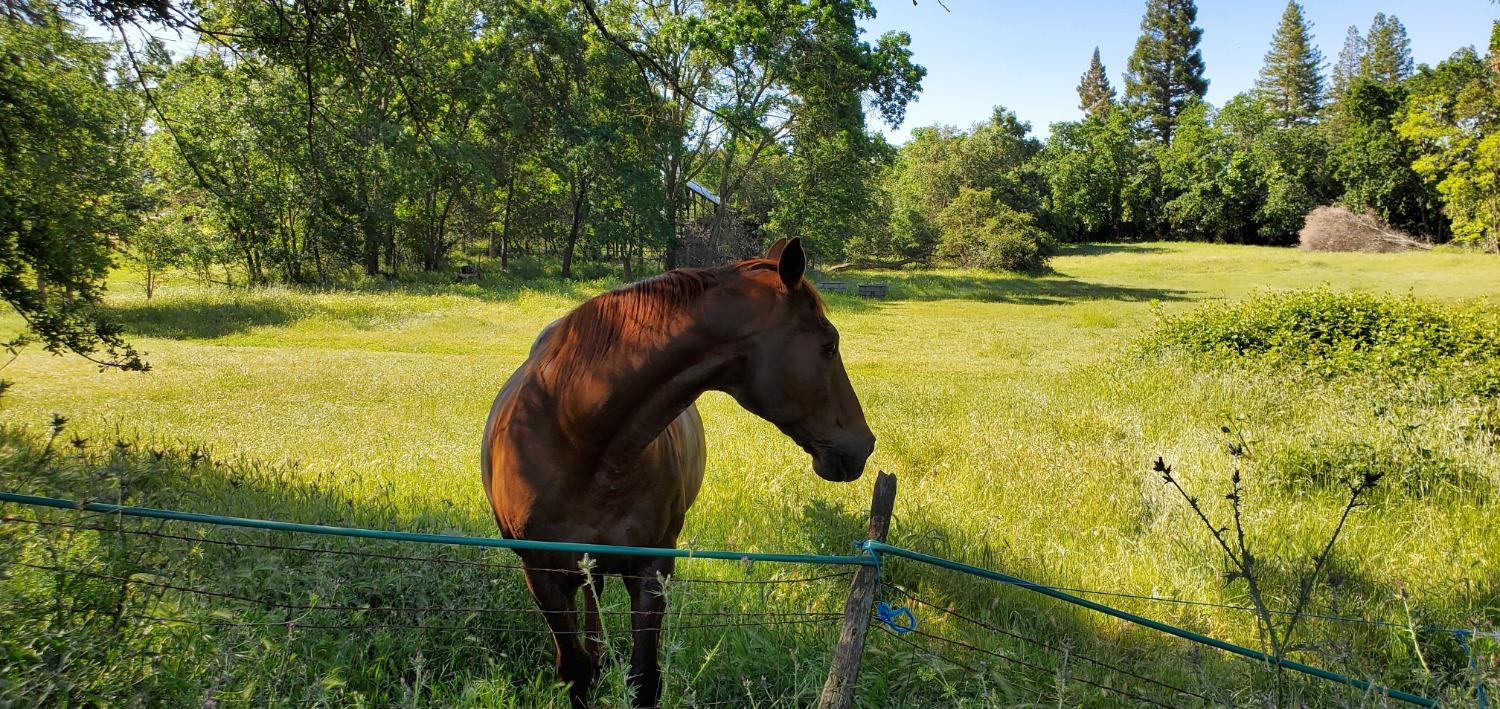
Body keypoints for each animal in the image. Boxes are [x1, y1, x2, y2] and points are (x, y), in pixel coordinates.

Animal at [480, 238, 876, 707]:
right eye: (829, 345)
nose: (864, 445)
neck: (577, 438)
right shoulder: (544, 577)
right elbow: (576, 672)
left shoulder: (651, 570)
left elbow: (643, 677)